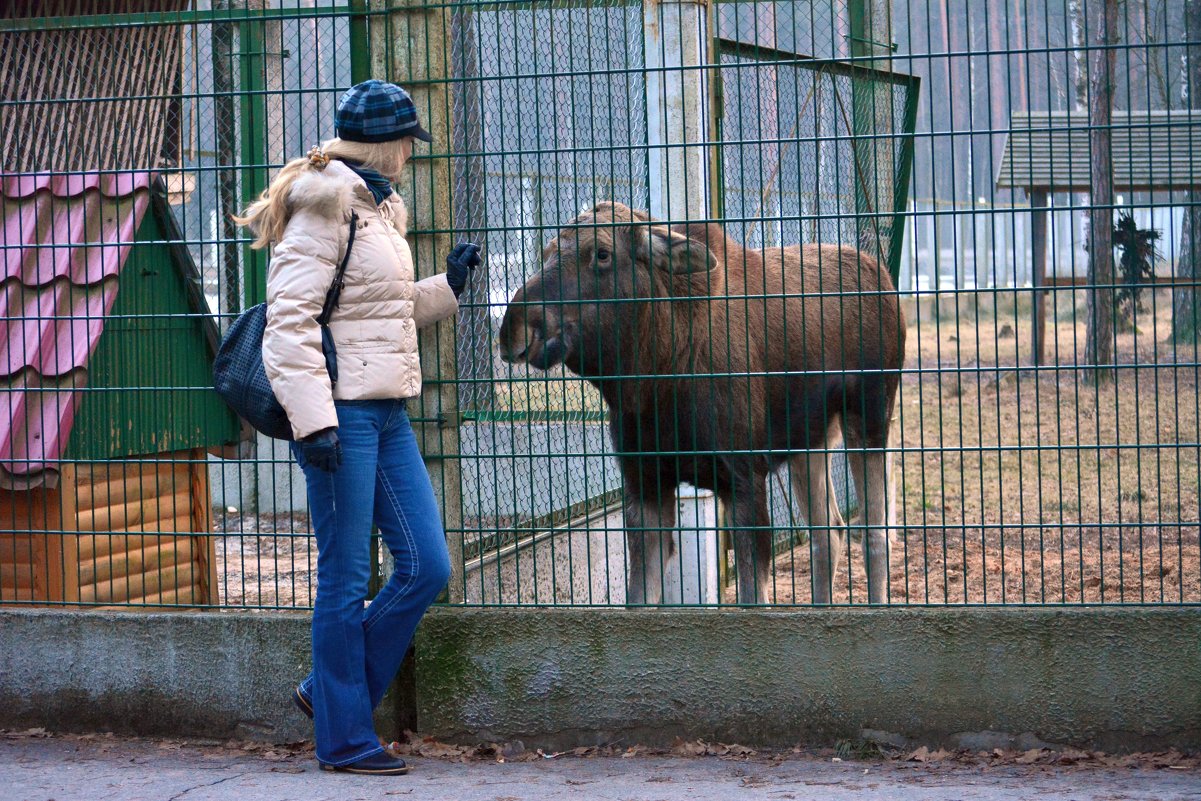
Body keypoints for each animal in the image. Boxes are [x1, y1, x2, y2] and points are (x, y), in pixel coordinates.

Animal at [494, 204, 903, 605]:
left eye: (602, 253)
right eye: (548, 251)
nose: (514, 326)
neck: (656, 377)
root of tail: (881, 273)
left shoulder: (743, 478)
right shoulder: (644, 483)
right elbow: (638, 598)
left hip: (870, 418)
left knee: (875, 534)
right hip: (810, 438)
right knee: (828, 533)